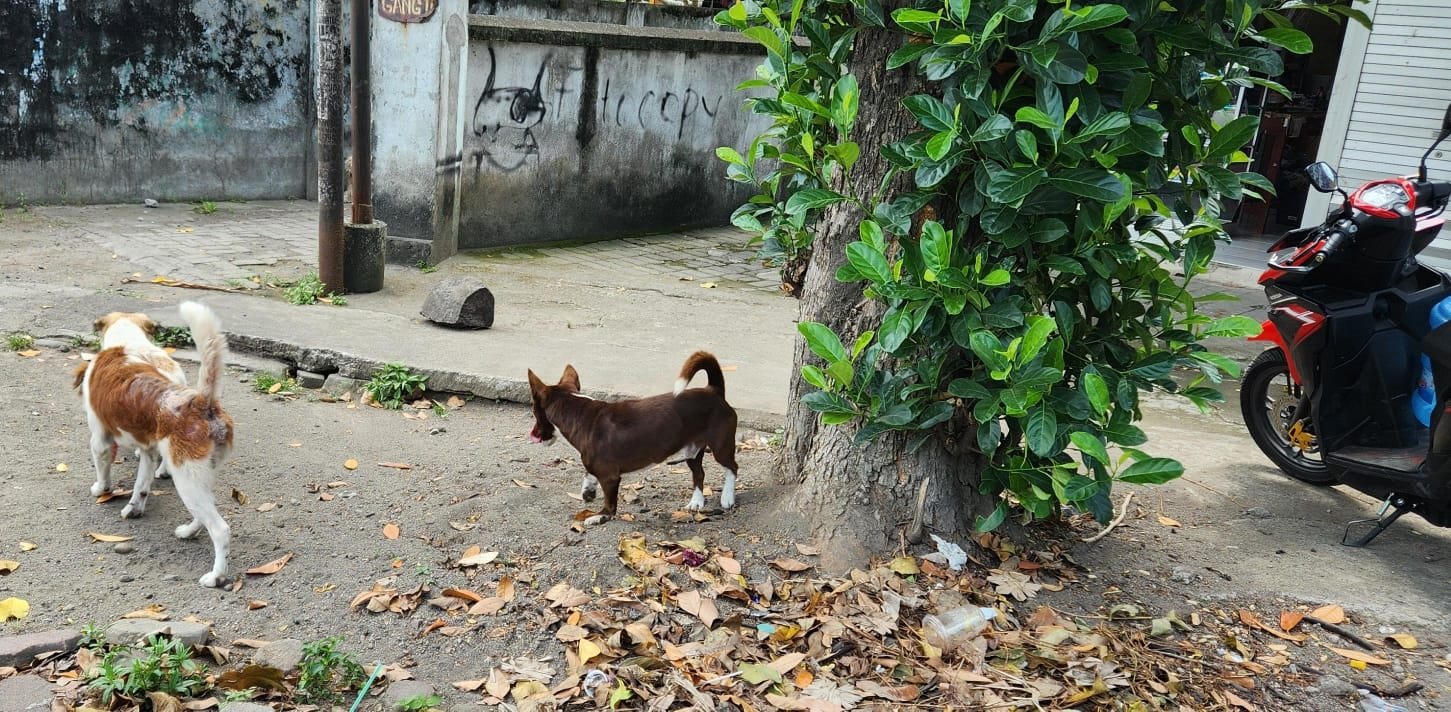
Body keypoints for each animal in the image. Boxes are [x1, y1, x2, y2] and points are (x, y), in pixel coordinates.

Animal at [77, 302, 235, 587]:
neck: (127, 340)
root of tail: (201, 401)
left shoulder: (100, 439)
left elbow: (103, 472)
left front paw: (100, 490)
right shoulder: (149, 451)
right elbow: (141, 486)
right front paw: (134, 509)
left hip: (186, 478)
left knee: (220, 529)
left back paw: (216, 576)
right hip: (199, 477)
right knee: (203, 513)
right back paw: (188, 531)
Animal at [527, 351, 739, 525]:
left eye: (534, 413)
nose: (533, 434)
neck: (579, 412)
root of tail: (713, 390)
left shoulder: (610, 477)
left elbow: (609, 504)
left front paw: (599, 516)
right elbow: (588, 473)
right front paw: (588, 491)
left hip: (721, 447)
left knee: (732, 468)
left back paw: (727, 497)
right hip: (691, 451)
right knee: (699, 474)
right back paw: (696, 502)